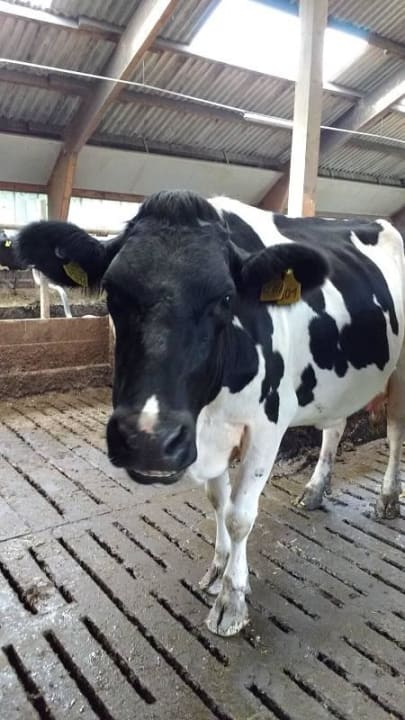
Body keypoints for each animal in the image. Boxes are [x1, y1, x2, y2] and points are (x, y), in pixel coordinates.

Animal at [17, 191, 405, 636]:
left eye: (226, 297)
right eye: (112, 293)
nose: (149, 440)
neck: (210, 409)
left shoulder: (266, 428)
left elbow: (239, 515)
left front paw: (232, 601)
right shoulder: (206, 434)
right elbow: (218, 501)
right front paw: (219, 571)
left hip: (401, 368)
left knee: (395, 429)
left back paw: (387, 498)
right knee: (335, 426)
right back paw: (315, 489)